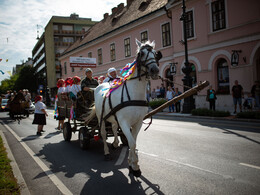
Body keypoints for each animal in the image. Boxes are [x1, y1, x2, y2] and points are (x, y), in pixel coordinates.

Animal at [92, 38, 160, 177]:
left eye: (155, 53)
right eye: (141, 54)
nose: (155, 70)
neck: (134, 93)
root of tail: (100, 86)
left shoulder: (137, 122)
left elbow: (132, 141)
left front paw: (132, 163)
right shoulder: (124, 122)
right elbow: (132, 143)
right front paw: (134, 166)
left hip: (113, 117)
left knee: (113, 127)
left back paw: (115, 143)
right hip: (101, 118)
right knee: (103, 133)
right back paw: (106, 152)